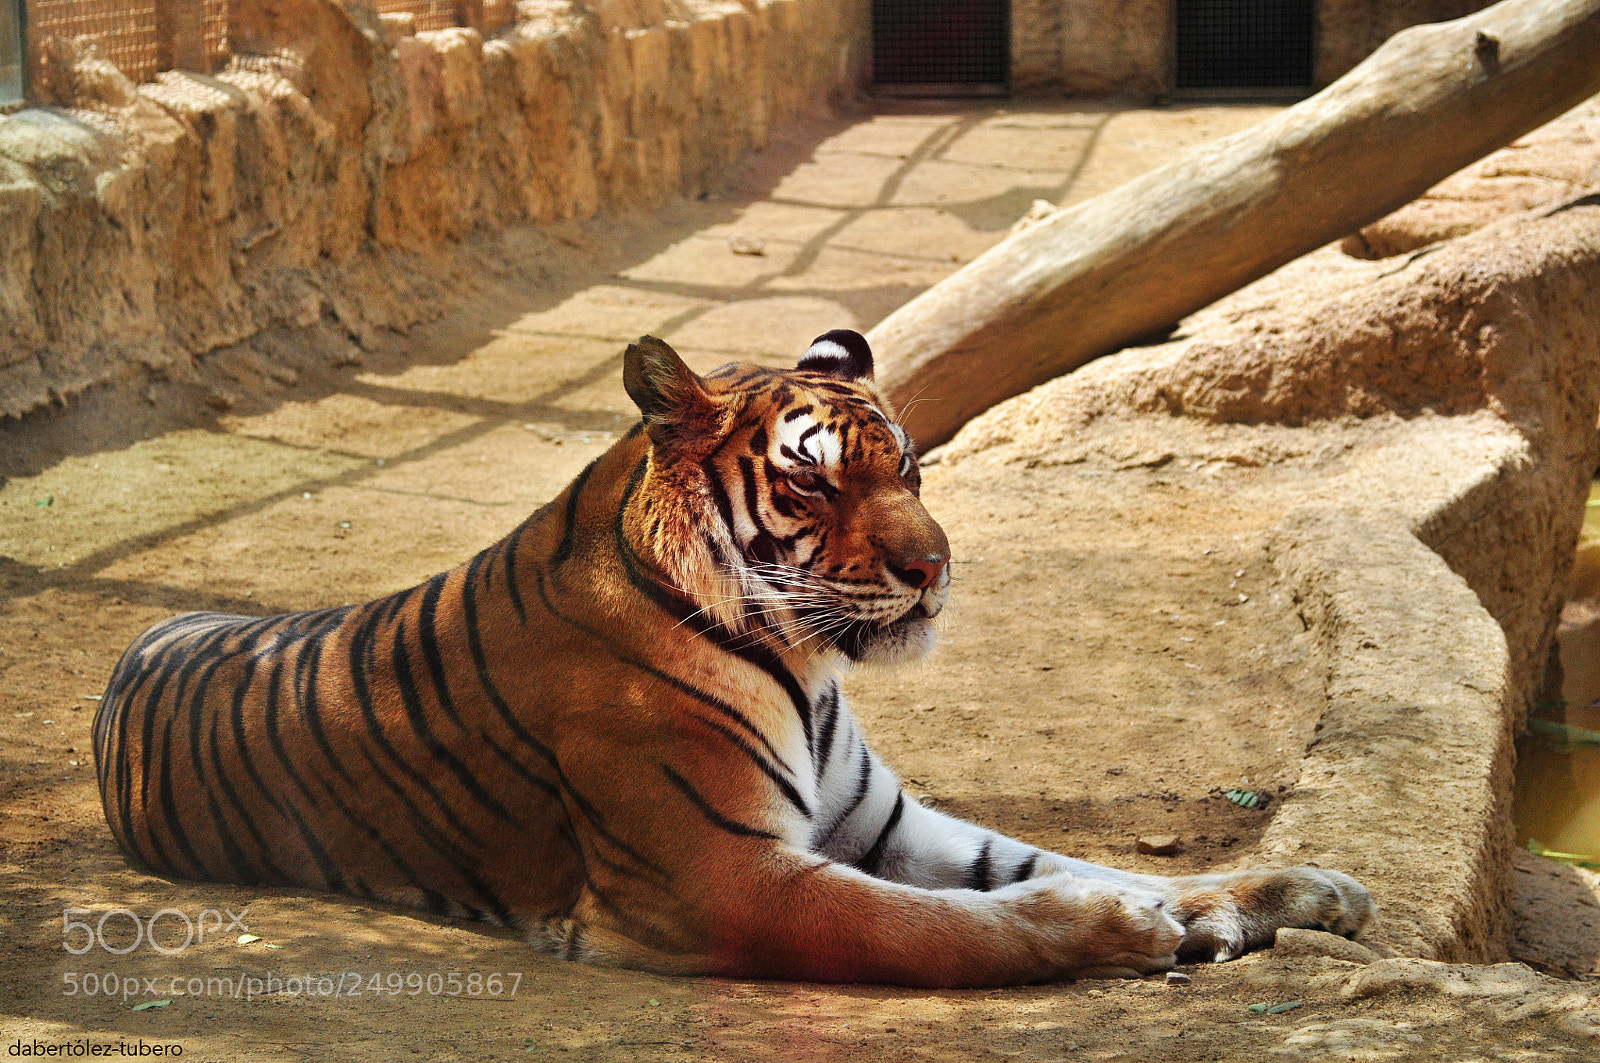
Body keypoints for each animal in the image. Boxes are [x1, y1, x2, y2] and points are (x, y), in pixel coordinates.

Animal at [93, 329, 1374, 986]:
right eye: (812, 482)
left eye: (909, 465)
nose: (933, 566)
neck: (807, 670)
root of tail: (147, 633)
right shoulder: (722, 876)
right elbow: (950, 924)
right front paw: (1123, 932)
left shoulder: (886, 824)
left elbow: (1063, 861)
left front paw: (1286, 892)